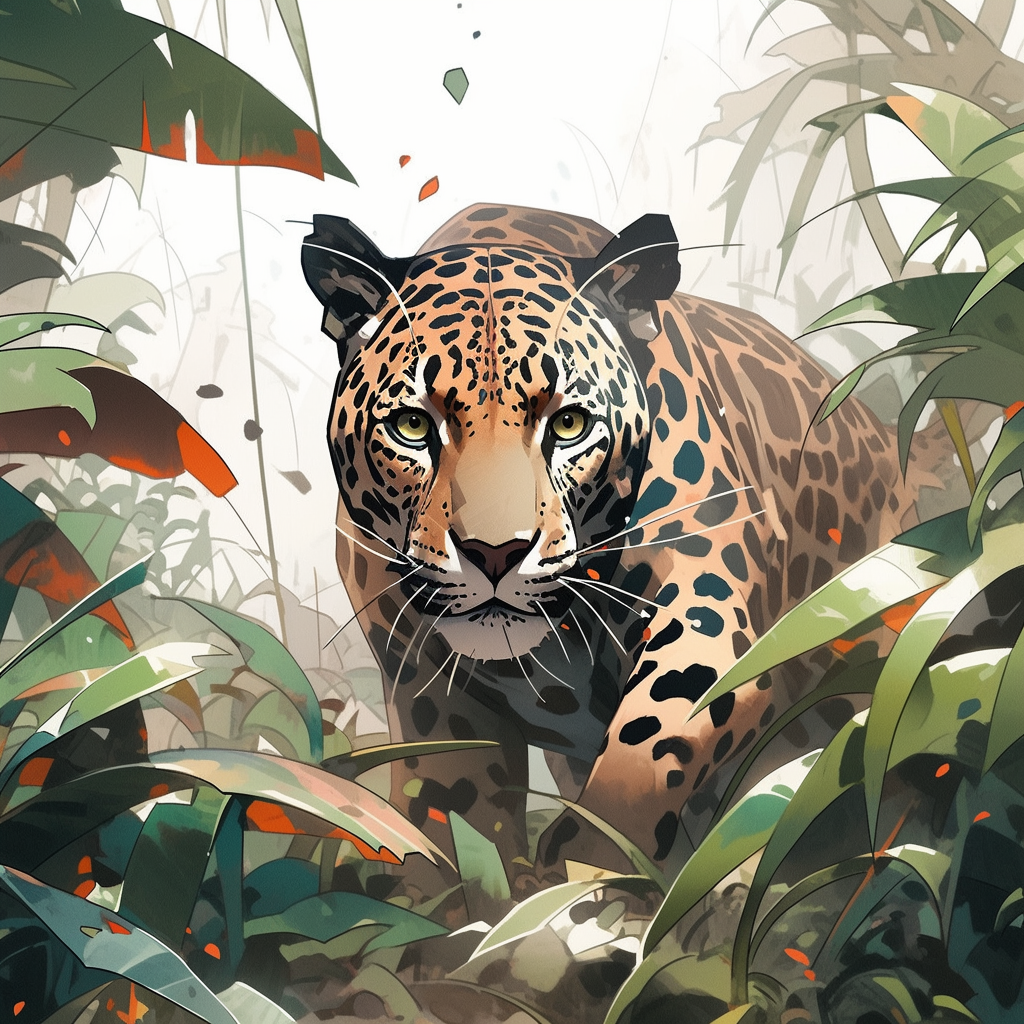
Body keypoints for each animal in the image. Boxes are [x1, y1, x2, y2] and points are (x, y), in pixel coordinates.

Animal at [300, 203, 930, 896]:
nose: (494, 554)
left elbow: (654, 736)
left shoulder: (705, 607)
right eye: (413, 426)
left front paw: (592, 864)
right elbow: (452, 822)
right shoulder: (432, 696)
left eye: (569, 423)